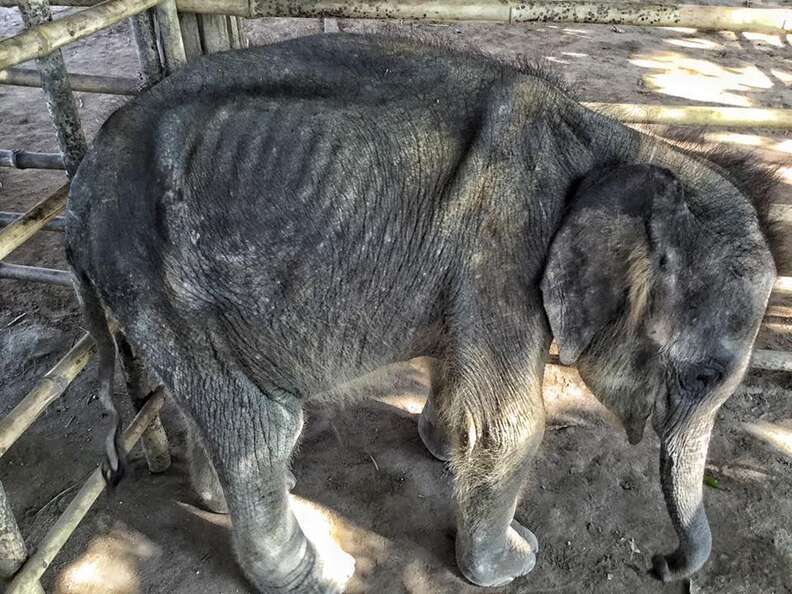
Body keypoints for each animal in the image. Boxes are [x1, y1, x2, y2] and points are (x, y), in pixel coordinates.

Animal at [63, 34, 780, 588]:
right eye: (702, 376)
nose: (661, 566)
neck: (624, 145)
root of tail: (79, 189)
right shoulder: (505, 245)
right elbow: (510, 425)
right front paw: (514, 563)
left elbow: (456, 364)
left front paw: (439, 450)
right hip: (156, 281)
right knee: (259, 428)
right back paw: (323, 573)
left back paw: (238, 497)